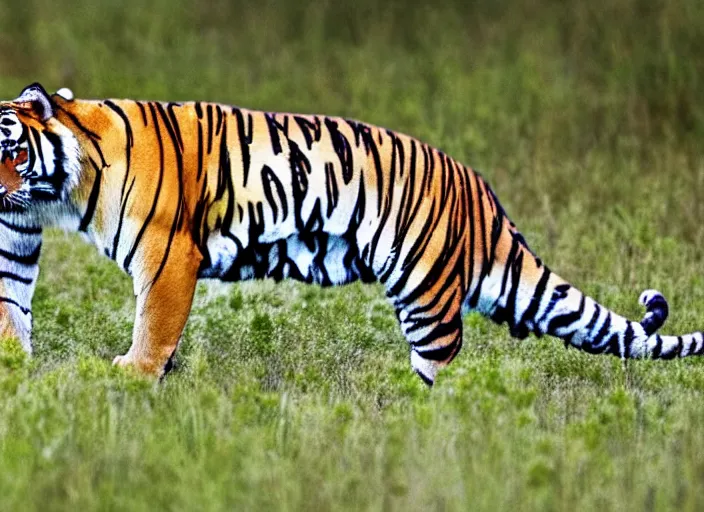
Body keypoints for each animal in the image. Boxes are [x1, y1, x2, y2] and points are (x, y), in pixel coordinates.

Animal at [0, 82, 692, 382]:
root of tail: (480, 191)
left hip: (426, 296)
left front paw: (130, 376)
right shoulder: (17, 233)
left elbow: (153, 325)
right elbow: (11, 301)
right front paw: (13, 365)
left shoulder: (169, 254)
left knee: (443, 377)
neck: (66, 190)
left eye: (12, 150)